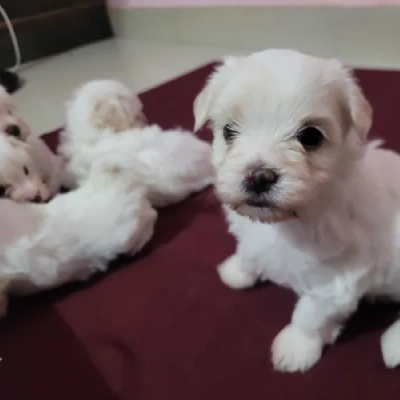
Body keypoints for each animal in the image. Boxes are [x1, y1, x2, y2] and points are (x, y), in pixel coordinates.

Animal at [194, 49, 400, 372]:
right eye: (228, 131)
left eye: (311, 137)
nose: (258, 176)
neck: (288, 221)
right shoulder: (253, 237)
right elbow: (248, 252)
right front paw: (236, 272)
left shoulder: (335, 284)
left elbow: (309, 316)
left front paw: (295, 349)